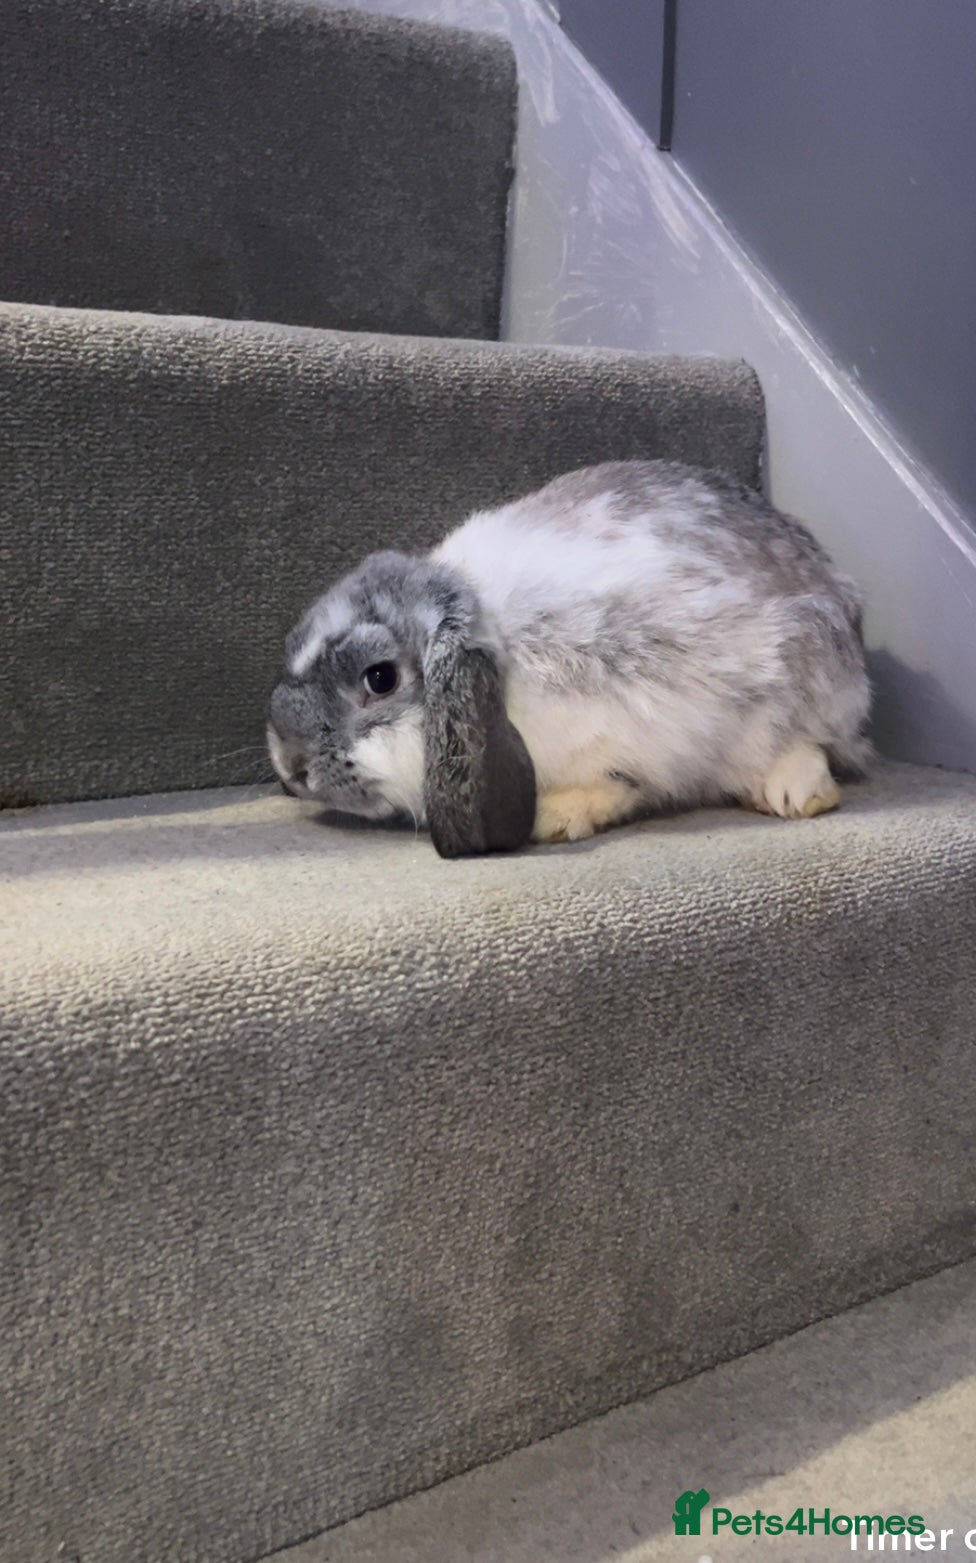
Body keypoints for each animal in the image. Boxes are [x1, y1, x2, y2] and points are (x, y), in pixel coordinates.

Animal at [268, 459, 871, 858]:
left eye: (380, 678)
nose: (290, 766)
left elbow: (623, 781)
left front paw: (553, 818)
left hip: (811, 668)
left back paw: (794, 792)